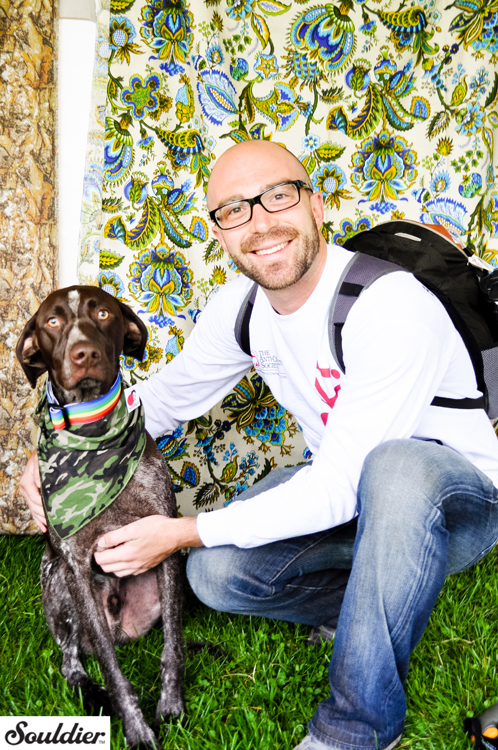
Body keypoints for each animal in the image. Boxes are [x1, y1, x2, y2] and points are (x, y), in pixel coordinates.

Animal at [17, 286, 187, 750]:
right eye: (52, 321)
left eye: (104, 313)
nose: (85, 353)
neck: (92, 436)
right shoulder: (74, 563)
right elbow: (113, 672)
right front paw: (136, 728)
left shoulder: (164, 541)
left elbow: (172, 646)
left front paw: (171, 707)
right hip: (56, 579)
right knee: (71, 659)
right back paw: (90, 691)